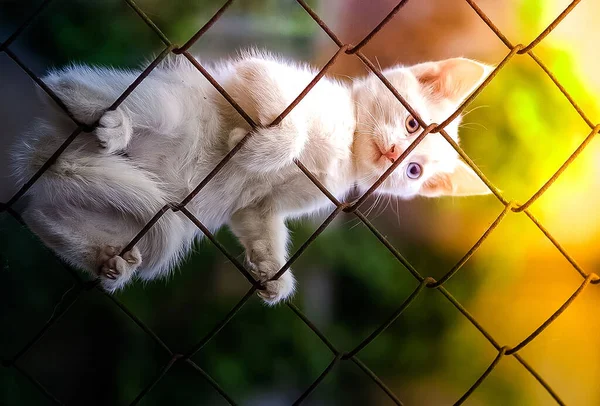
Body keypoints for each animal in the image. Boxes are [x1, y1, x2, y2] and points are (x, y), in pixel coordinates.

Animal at [10, 50, 492, 304]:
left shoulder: (262, 207)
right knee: (63, 85)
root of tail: (52, 153)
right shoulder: (263, 72)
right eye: (412, 125)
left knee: (40, 213)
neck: (345, 151)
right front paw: (254, 145)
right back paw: (109, 124)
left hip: (144, 222)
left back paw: (104, 259)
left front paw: (272, 274)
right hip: (166, 104)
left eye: (414, 171)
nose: (394, 155)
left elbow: (257, 219)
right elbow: (288, 127)